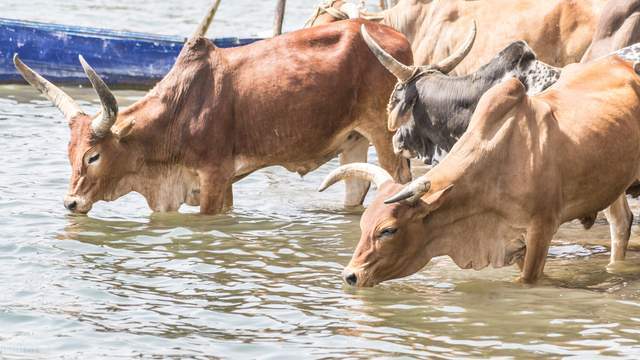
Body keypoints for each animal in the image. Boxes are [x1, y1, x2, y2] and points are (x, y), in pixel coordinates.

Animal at [322, 50, 640, 286]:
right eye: (363, 224)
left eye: (388, 230)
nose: (351, 276)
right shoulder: (513, 241)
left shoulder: (542, 229)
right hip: (612, 185)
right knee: (621, 223)